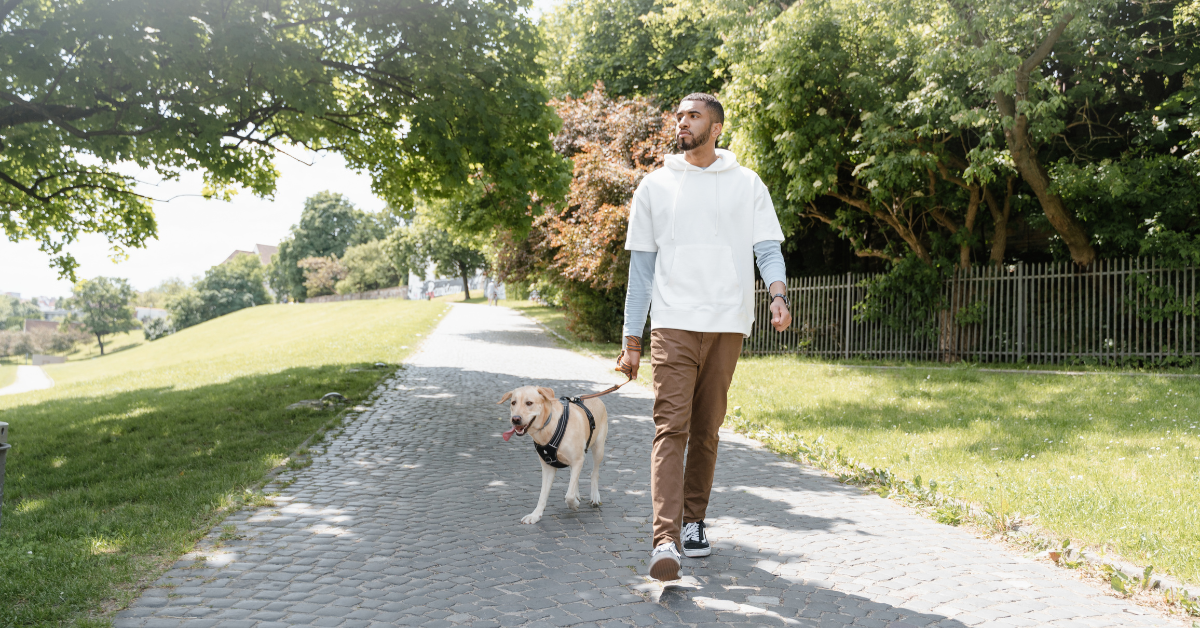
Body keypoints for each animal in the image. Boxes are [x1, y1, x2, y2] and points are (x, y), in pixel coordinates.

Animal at [496, 386, 609, 523]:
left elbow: (569, 495)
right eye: (513, 403)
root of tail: (594, 396)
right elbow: (543, 494)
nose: (515, 419)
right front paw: (535, 515)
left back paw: (594, 496)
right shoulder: (548, 466)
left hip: (599, 448)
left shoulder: (577, 460)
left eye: (529, 403)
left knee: (594, 473)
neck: (549, 426)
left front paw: (573, 504)